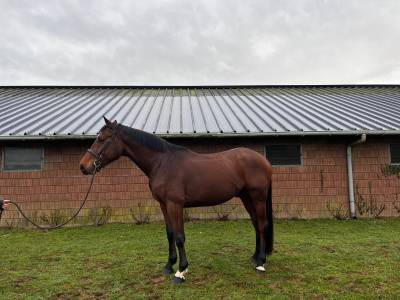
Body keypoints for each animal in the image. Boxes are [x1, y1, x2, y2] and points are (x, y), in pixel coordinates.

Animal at [79, 117, 272, 284]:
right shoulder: (164, 205)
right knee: (256, 223)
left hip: (258, 197)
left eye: (101, 139)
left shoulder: (175, 205)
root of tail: (263, 160)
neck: (162, 163)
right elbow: (170, 233)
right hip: (246, 197)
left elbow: (179, 236)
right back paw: (255, 257)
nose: (83, 166)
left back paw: (261, 262)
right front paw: (169, 266)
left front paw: (181, 271)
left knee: (262, 224)